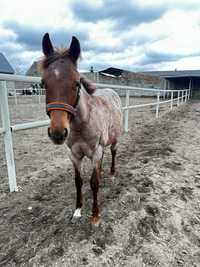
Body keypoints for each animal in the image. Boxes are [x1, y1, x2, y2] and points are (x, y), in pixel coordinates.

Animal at [40, 33, 122, 226]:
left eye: (76, 83)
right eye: (43, 83)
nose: (57, 133)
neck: (81, 125)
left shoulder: (95, 152)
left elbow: (94, 182)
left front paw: (95, 216)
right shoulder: (74, 154)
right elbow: (78, 181)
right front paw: (77, 210)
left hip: (114, 140)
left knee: (113, 152)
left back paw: (112, 174)